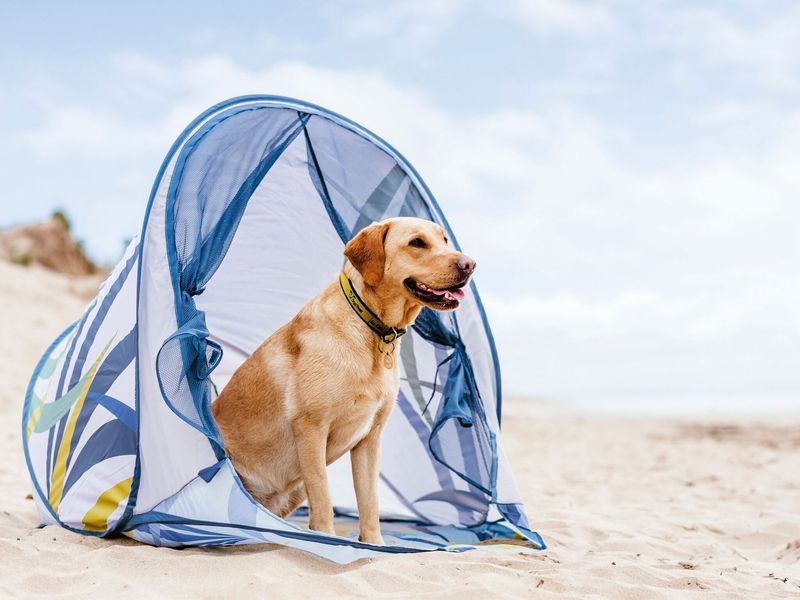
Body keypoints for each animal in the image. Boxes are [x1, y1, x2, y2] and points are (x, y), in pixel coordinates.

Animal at [211, 216, 476, 544]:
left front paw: (374, 543)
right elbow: (323, 497)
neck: (373, 331)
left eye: (444, 240)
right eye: (417, 242)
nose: (469, 264)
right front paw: (327, 539)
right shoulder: (311, 428)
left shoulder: (370, 438)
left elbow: (369, 500)